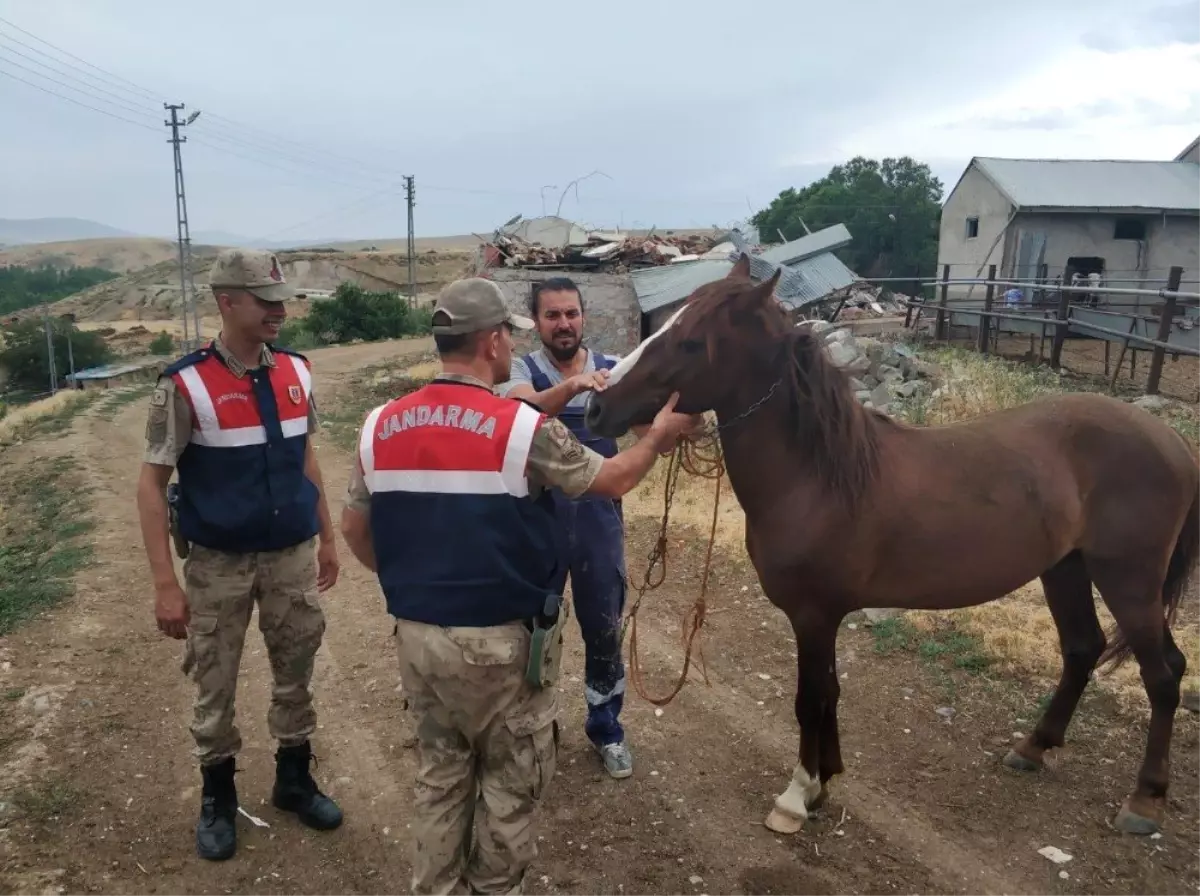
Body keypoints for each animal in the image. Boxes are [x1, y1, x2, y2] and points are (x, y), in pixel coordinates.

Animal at [583, 254, 1200, 839]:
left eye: (690, 341)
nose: (595, 407)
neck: (818, 476)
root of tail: (1171, 440)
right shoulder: (826, 616)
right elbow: (830, 693)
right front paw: (824, 783)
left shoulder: (814, 615)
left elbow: (810, 698)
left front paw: (796, 797)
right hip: (1066, 569)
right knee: (1082, 649)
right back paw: (1033, 747)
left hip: (1128, 580)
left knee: (1164, 673)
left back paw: (1144, 799)